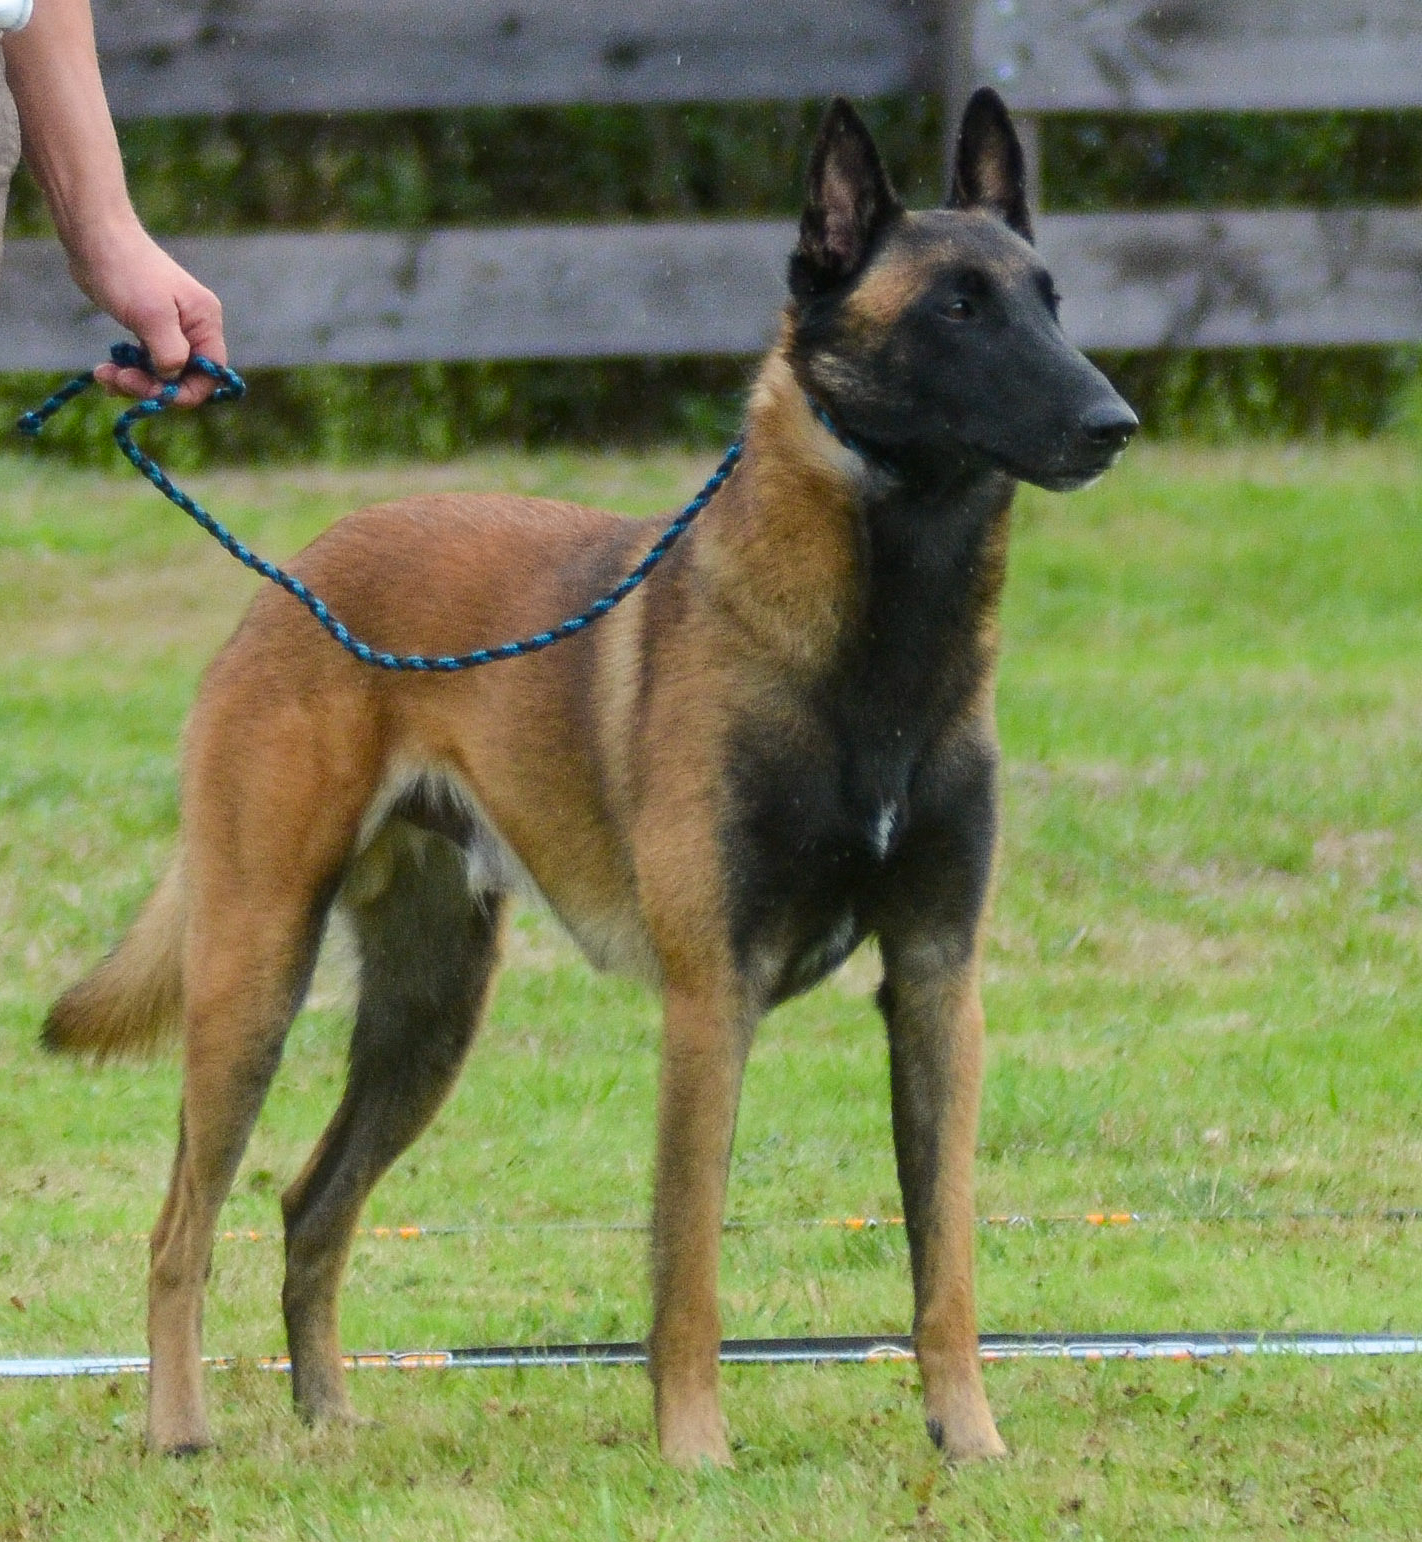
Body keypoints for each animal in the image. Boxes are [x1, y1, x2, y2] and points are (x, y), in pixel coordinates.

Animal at [41, 90, 1128, 1461]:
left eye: (1050, 300)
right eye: (957, 309)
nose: (1113, 423)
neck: (878, 645)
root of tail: (296, 577)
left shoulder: (938, 982)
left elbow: (948, 1255)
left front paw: (969, 1441)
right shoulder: (712, 999)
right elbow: (690, 1262)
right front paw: (698, 1452)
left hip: (429, 1011)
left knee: (309, 1202)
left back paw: (330, 1416)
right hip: (255, 972)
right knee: (183, 1222)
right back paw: (182, 1430)